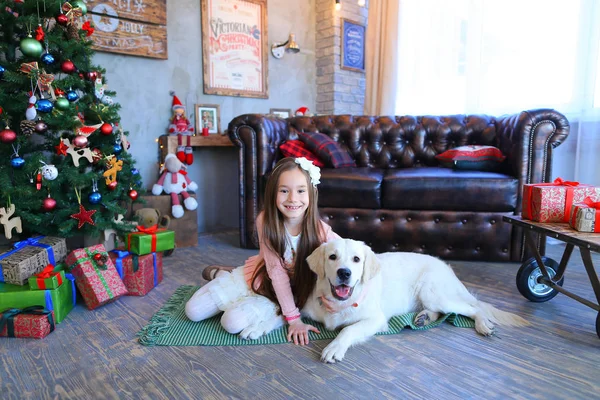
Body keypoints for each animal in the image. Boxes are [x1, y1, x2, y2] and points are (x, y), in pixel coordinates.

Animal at [302, 239, 528, 364]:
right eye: (332, 257)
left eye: (356, 259)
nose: (344, 273)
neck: (339, 303)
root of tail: (446, 267)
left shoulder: (376, 319)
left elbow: (348, 329)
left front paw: (334, 348)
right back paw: (424, 318)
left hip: (433, 293)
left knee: (472, 308)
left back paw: (483, 325)